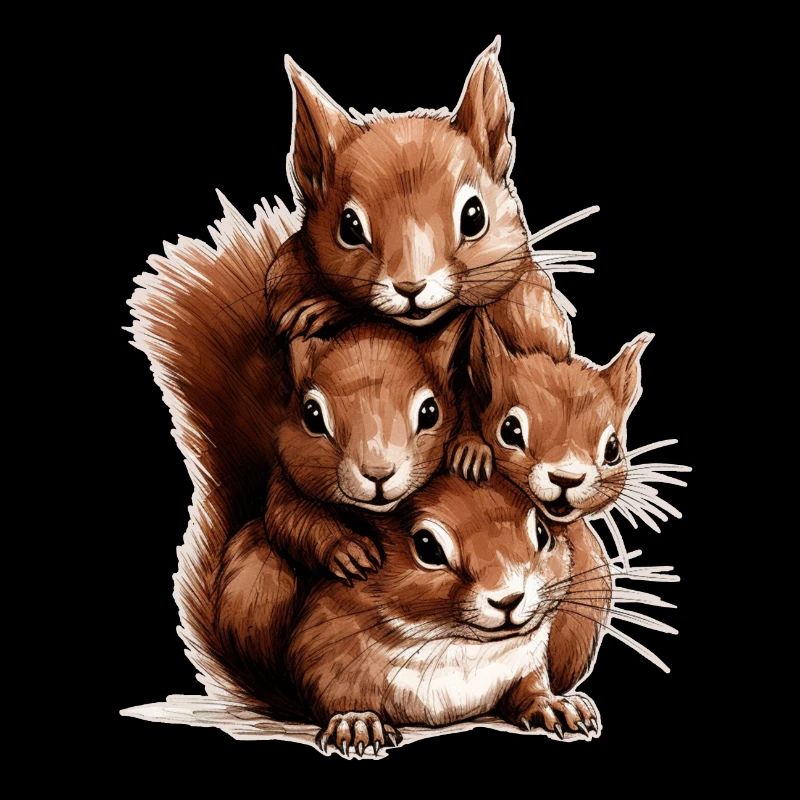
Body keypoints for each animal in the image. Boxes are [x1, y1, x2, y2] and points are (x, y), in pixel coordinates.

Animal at [266, 37, 574, 363]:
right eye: (349, 228)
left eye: (474, 216)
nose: (411, 287)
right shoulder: (283, 273)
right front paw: (321, 308)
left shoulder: (539, 313)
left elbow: (540, 334)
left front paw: (324, 309)